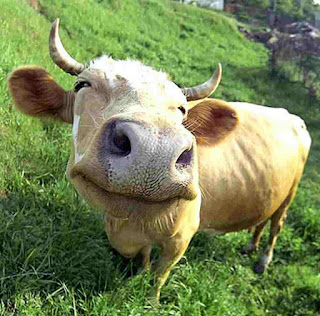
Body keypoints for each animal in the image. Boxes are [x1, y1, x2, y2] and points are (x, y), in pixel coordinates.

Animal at [8, 19, 312, 304]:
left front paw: (150, 300)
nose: (153, 151)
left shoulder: (180, 239)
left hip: (292, 192)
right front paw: (139, 273)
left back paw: (263, 260)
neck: (127, 224)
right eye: (83, 84)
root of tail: (290, 115)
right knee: (262, 221)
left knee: (277, 224)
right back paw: (251, 246)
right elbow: (145, 259)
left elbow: (159, 276)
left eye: (182, 109)